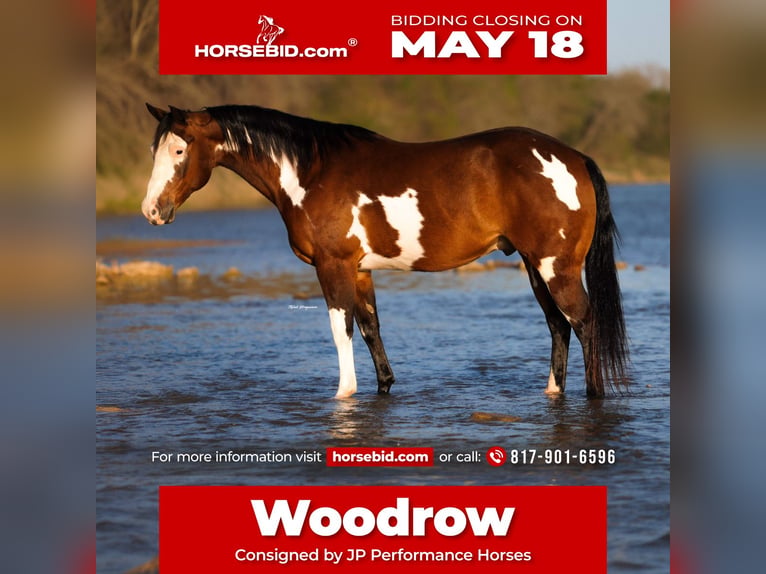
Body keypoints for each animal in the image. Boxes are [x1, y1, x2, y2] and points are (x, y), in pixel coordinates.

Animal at [142, 103, 629, 399]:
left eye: (180, 149)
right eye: (155, 150)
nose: (151, 210)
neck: (310, 172)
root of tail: (574, 157)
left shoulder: (333, 266)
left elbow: (340, 330)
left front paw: (343, 394)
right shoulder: (360, 270)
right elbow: (370, 329)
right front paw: (383, 386)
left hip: (555, 266)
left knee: (583, 322)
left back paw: (593, 394)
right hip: (533, 264)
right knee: (558, 326)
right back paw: (552, 392)